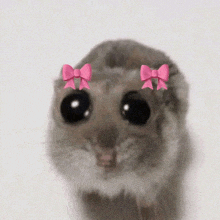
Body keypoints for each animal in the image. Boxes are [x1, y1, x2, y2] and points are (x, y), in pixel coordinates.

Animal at [48, 40, 191, 220]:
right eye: (72, 107)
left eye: (138, 109)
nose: (106, 159)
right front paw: (92, 204)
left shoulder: (152, 180)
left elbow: (146, 204)